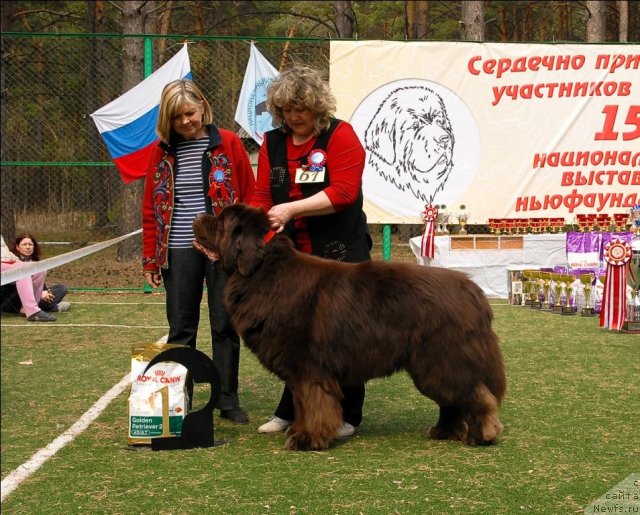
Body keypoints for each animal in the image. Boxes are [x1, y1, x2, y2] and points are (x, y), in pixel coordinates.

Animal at [191, 204, 504, 450]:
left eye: (220, 220)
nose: (196, 216)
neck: (264, 272)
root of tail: (473, 291)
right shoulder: (301, 369)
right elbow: (303, 403)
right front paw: (300, 432)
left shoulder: (309, 367)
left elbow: (313, 403)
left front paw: (306, 440)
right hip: (430, 364)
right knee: (451, 399)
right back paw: (444, 431)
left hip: (442, 358)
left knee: (476, 394)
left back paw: (481, 435)